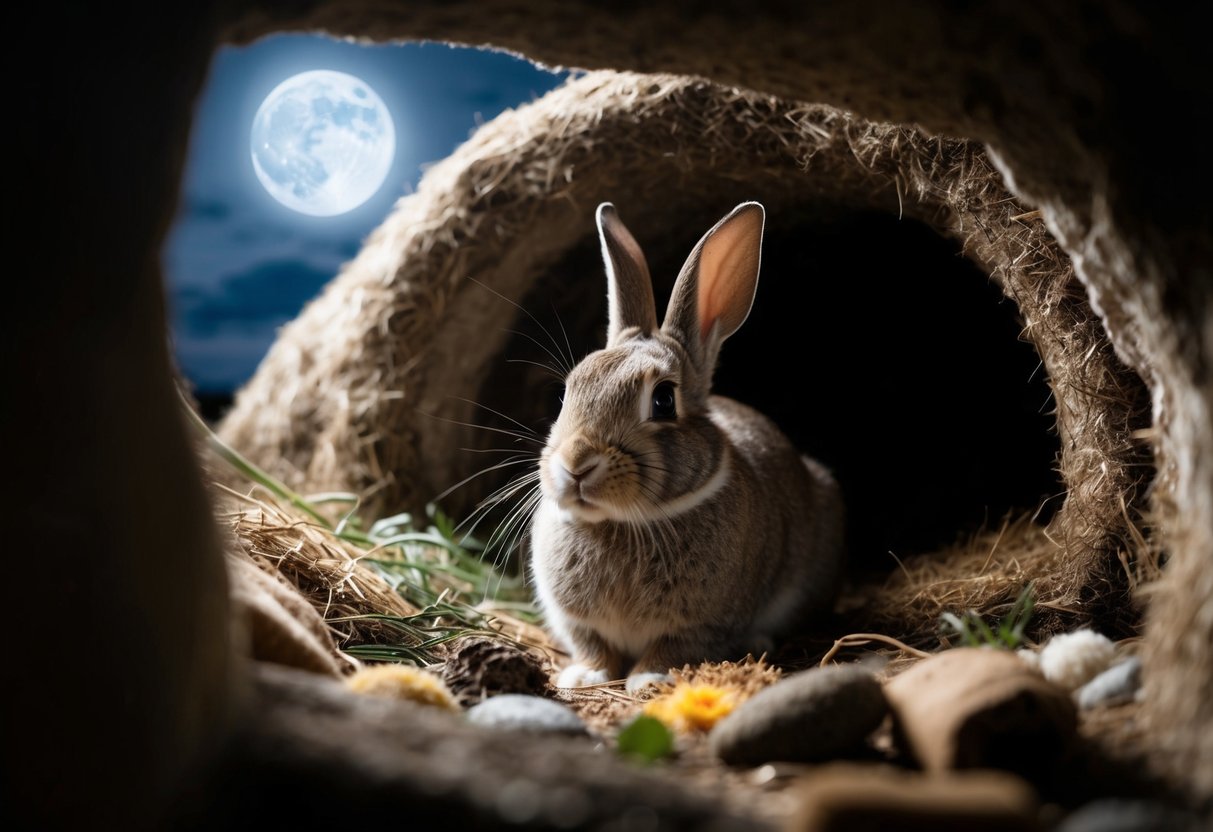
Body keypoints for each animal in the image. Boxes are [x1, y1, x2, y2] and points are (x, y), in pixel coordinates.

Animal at [529, 201, 845, 692]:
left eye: (663, 400)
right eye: (567, 394)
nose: (576, 463)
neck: (621, 522)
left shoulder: (704, 624)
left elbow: (674, 648)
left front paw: (650, 679)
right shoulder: (575, 621)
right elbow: (592, 644)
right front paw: (583, 676)